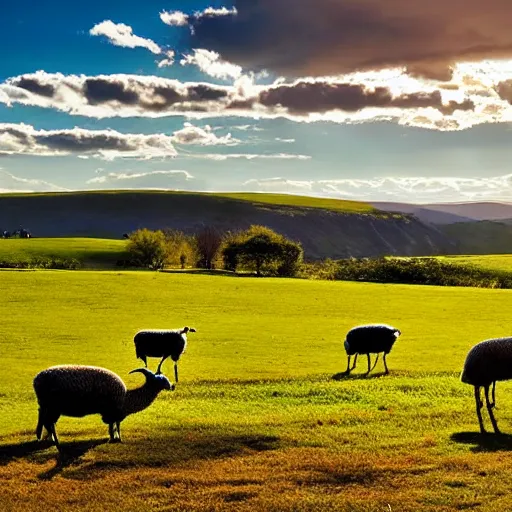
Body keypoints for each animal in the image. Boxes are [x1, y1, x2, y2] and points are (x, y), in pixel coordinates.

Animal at [34, 366, 174, 450]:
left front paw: (116, 438)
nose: (172, 386)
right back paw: (56, 441)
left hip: (46, 406)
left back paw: (49, 439)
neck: (127, 398)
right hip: (53, 407)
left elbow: (114, 425)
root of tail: (37, 379)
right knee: (49, 423)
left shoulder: (114, 413)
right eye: (161, 380)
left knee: (46, 423)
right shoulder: (112, 411)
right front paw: (114, 438)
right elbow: (114, 425)